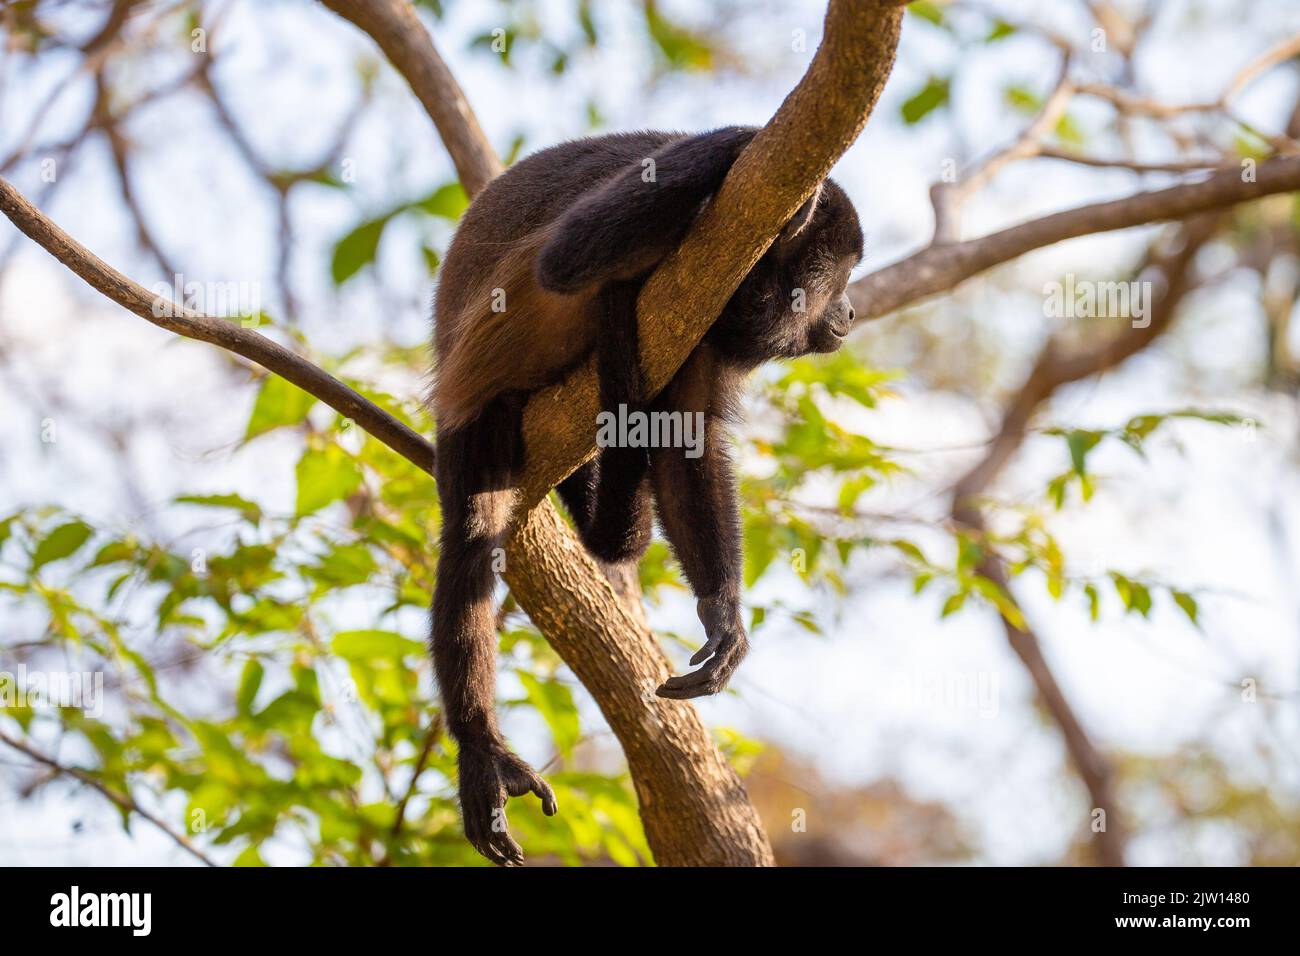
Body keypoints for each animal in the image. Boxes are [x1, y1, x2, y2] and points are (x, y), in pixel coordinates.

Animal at [429, 126, 863, 865]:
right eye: (847, 273)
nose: (853, 310)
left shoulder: (705, 328)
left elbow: (687, 444)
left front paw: (723, 615)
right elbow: (567, 257)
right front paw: (753, 147)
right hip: (470, 420)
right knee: (469, 545)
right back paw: (479, 746)